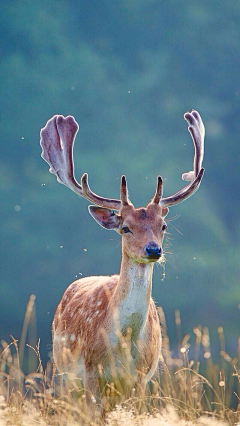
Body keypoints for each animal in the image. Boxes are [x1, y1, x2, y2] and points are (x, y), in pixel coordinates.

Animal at [40, 110, 205, 406]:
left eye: (163, 226)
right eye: (125, 227)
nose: (153, 250)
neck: (124, 344)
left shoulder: (140, 378)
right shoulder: (90, 372)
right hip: (64, 373)